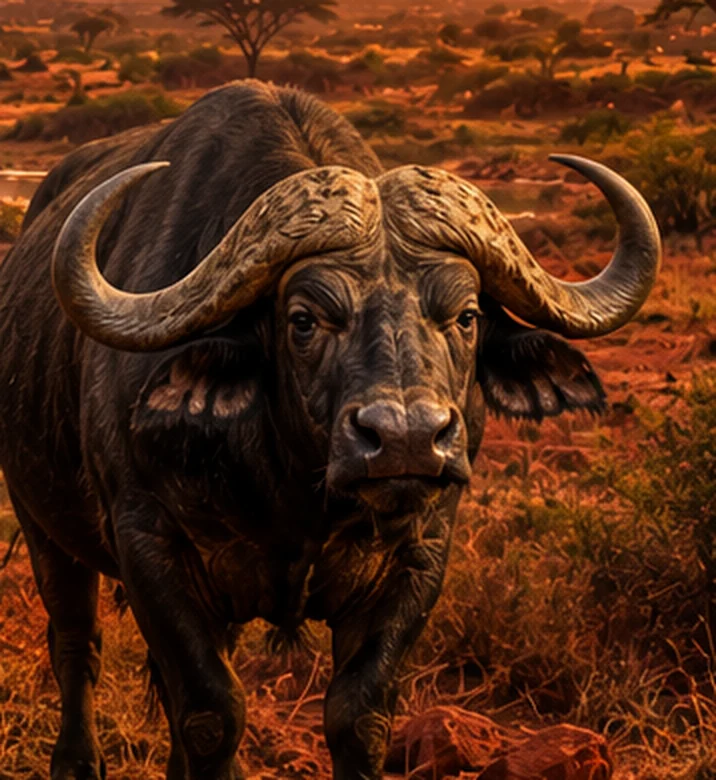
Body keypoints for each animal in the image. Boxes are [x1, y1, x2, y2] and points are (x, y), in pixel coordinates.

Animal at [0, 80, 660, 780]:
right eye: (304, 319)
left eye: (467, 315)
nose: (406, 440)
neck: (293, 493)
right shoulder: (147, 544)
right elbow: (211, 713)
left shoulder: (420, 554)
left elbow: (357, 716)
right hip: (42, 526)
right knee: (76, 640)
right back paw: (76, 760)